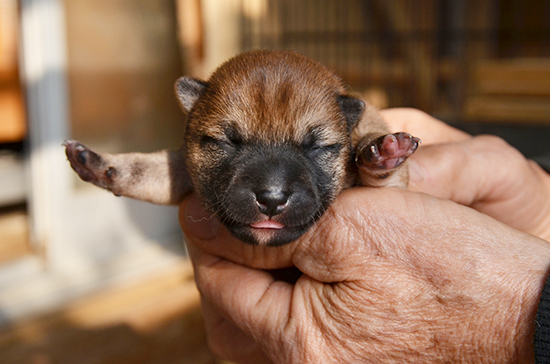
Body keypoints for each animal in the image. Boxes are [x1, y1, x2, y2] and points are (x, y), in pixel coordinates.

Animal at [64, 49, 420, 246]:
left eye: (317, 147)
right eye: (227, 142)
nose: (272, 200)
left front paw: (382, 154)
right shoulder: (185, 170)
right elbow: (148, 171)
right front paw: (98, 163)